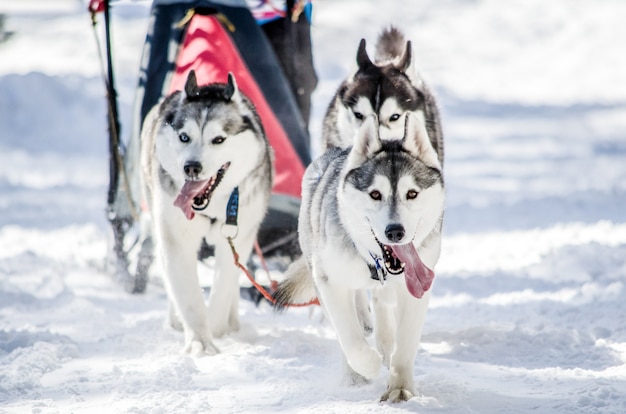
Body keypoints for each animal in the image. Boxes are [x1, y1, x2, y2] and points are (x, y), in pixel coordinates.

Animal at [141, 71, 270, 356]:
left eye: (218, 139)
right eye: (184, 137)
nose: (191, 167)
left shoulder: (238, 235)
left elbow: (222, 288)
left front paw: (217, 329)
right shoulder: (176, 239)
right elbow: (188, 296)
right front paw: (200, 341)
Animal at [272, 112, 444, 402]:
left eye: (412, 193)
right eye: (375, 194)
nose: (395, 231)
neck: (376, 264)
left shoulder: (416, 288)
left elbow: (405, 344)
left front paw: (400, 387)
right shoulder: (329, 281)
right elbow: (351, 338)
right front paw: (366, 366)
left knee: (382, 309)